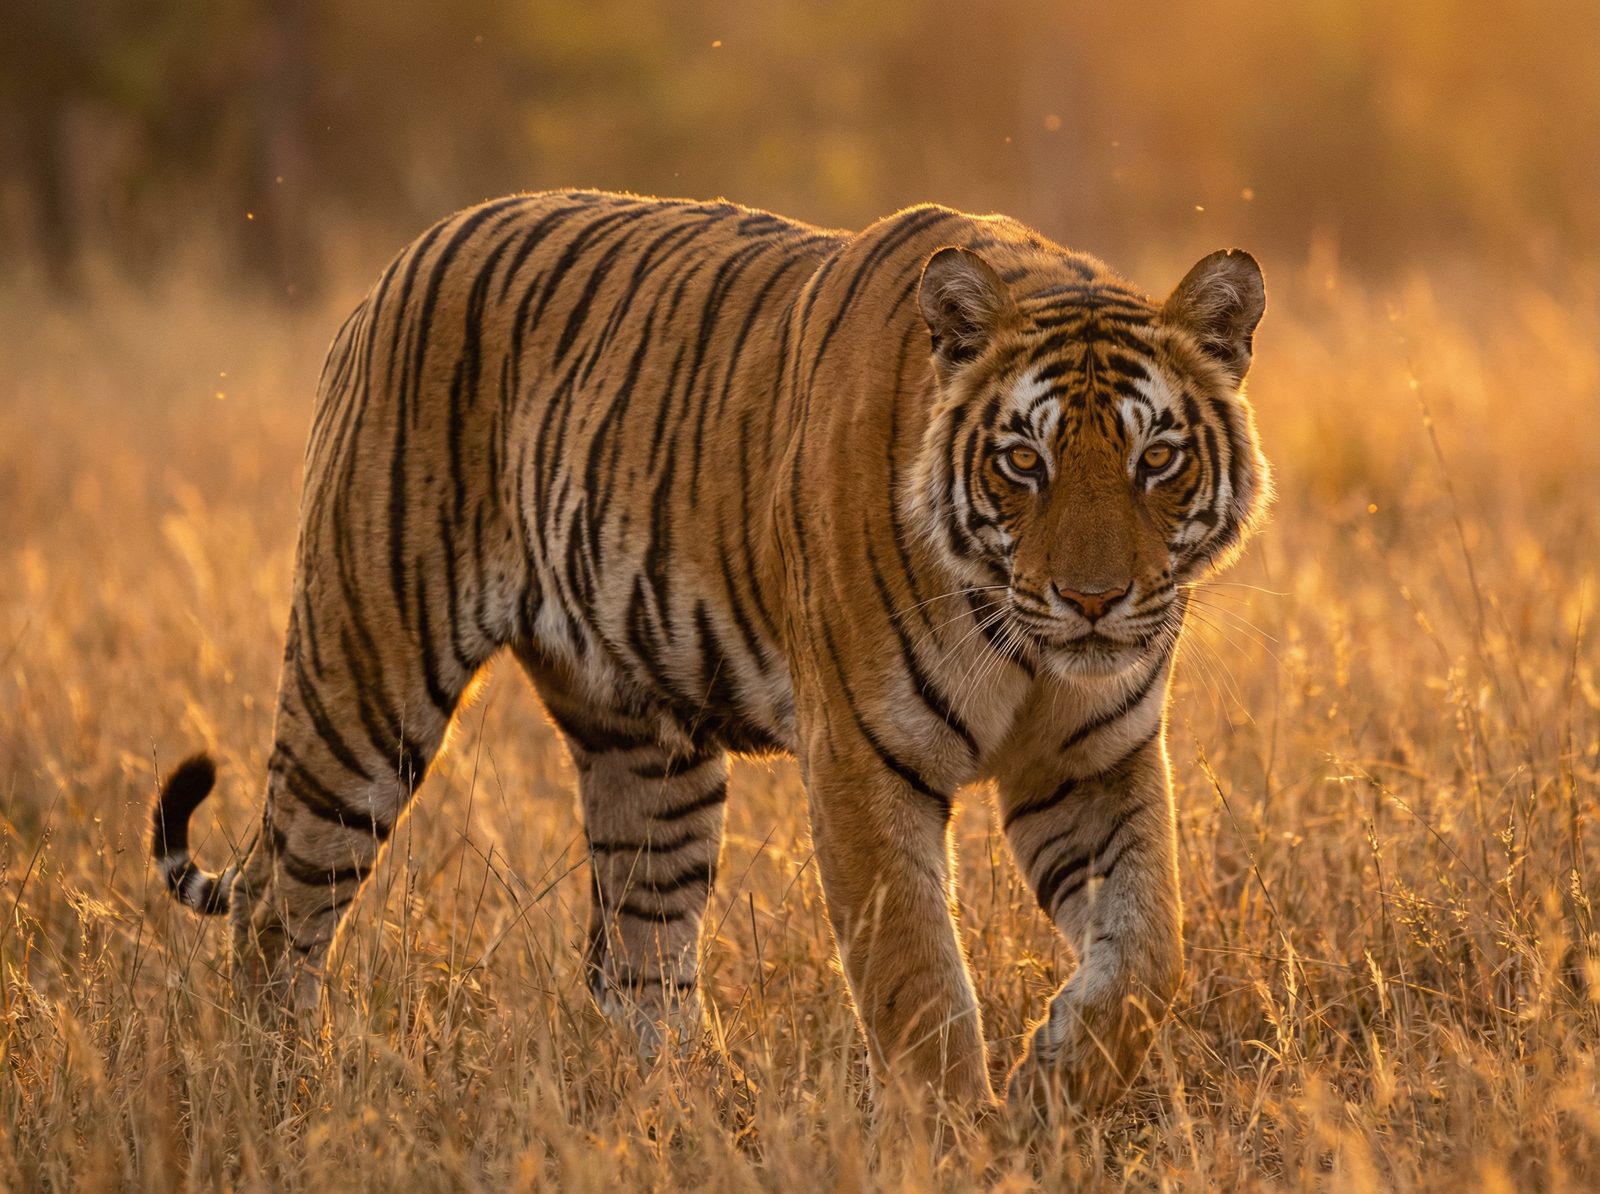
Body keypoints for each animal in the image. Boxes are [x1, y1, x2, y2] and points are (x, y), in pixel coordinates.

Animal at [151, 189, 1269, 1115]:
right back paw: (284, 1092)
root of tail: (396, 264)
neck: (1021, 645)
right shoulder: (865, 760)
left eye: (1156, 459)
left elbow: (1150, 952)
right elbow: (917, 984)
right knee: (277, 905)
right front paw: (954, 1132)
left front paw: (1059, 1084)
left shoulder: (1091, 763)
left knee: (635, 959)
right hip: (365, 680)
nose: (1093, 602)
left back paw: (701, 1104)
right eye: (1023, 462)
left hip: (647, 758)